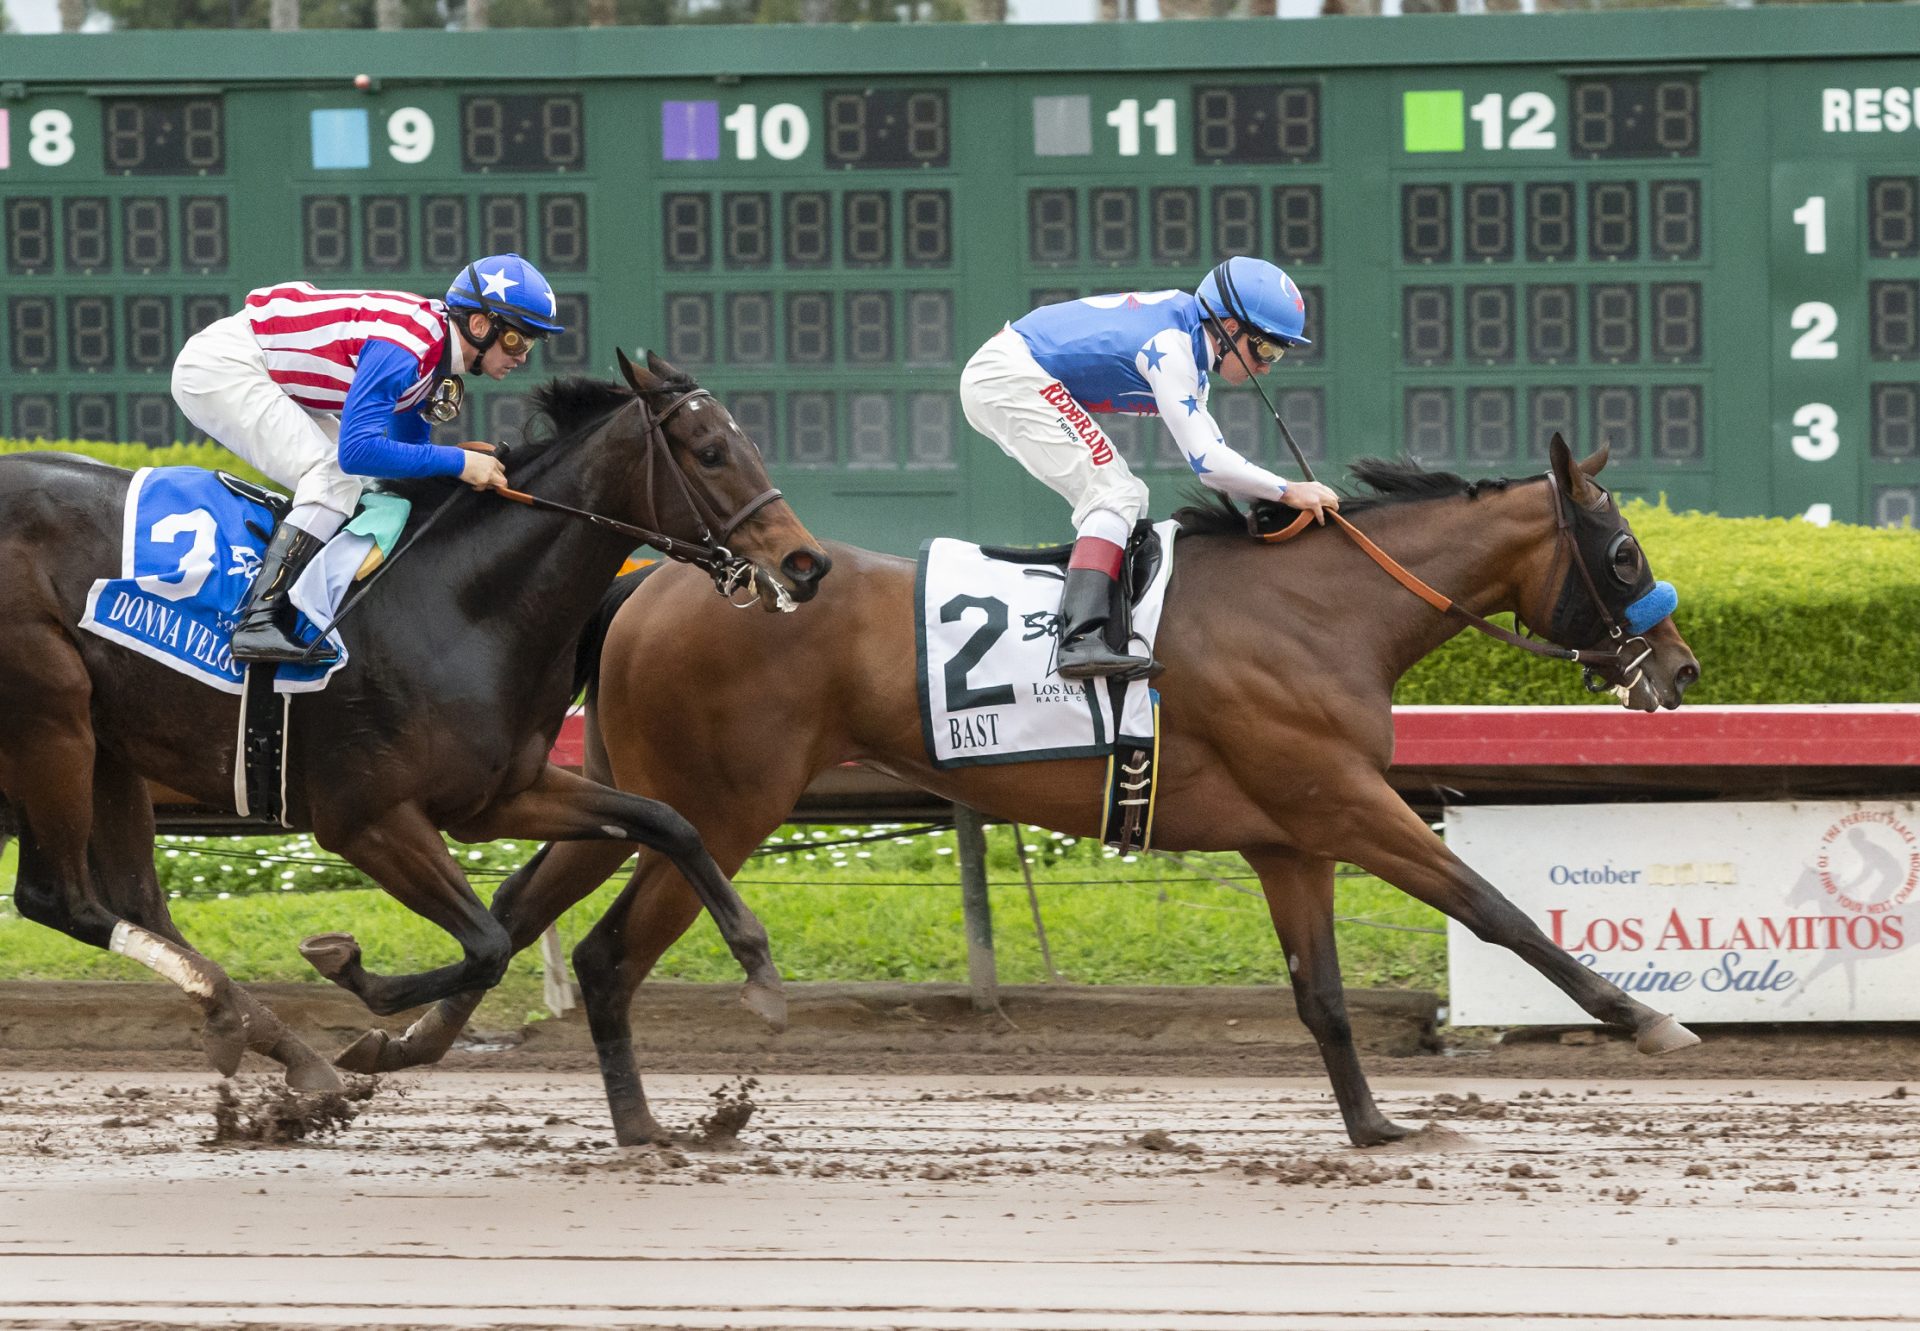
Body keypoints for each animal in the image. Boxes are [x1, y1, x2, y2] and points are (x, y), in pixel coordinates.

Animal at [0, 349, 825, 1090]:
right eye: (711, 452)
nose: (807, 562)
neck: (463, 601)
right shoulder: (366, 818)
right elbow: (489, 943)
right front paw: (354, 980)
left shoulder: (500, 795)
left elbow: (668, 821)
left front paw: (759, 967)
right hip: (50, 720)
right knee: (60, 899)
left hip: (108, 741)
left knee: (133, 900)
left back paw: (272, 1043)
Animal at [341, 435, 1697, 1144]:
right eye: (1626, 551)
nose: (1681, 670)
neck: (1320, 611)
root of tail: (659, 578)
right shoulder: (1347, 802)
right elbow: (1497, 909)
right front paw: (1646, 1019)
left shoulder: (1291, 837)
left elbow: (1320, 997)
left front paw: (1375, 1126)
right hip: (724, 804)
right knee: (607, 949)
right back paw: (635, 1127)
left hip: (653, 788)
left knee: (522, 900)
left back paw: (389, 1035)